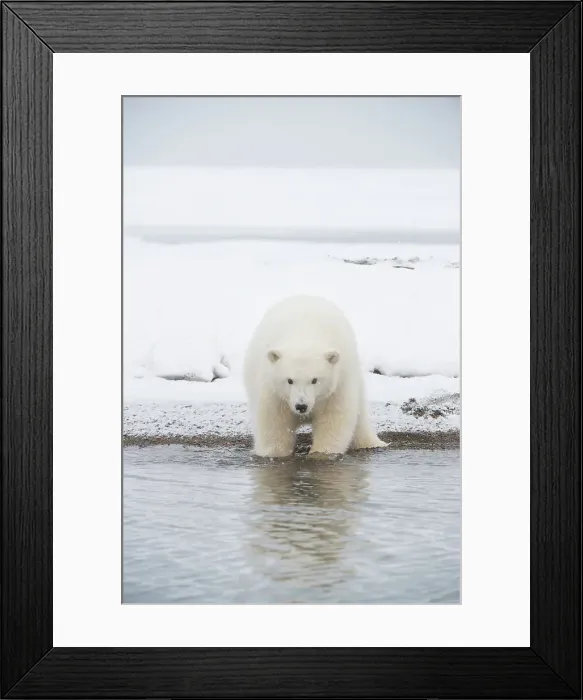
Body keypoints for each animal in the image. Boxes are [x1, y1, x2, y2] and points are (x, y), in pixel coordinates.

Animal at [243, 295, 387, 458]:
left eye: (314, 380)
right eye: (289, 380)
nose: (301, 406)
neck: (304, 334)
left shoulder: (337, 384)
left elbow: (333, 419)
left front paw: (320, 453)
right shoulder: (274, 391)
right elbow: (275, 422)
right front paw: (274, 453)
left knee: (360, 416)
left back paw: (371, 443)